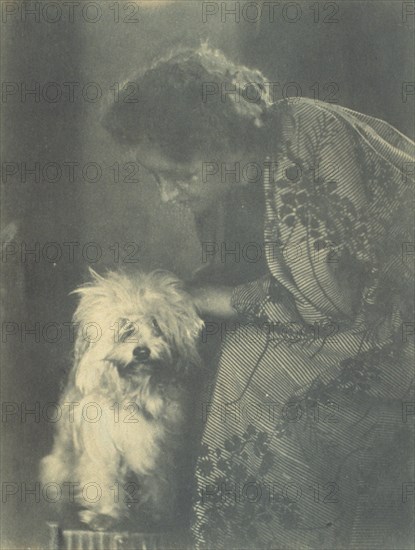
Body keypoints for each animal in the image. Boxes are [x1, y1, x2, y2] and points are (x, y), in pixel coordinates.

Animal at [41, 270, 205, 532]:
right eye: (126, 328)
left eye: (156, 325)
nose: (142, 352)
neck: (134, 391)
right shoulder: (102, 447)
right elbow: (103, 478)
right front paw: (105, 515)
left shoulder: (158, 447)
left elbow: (158, 481)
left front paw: (157, 514)